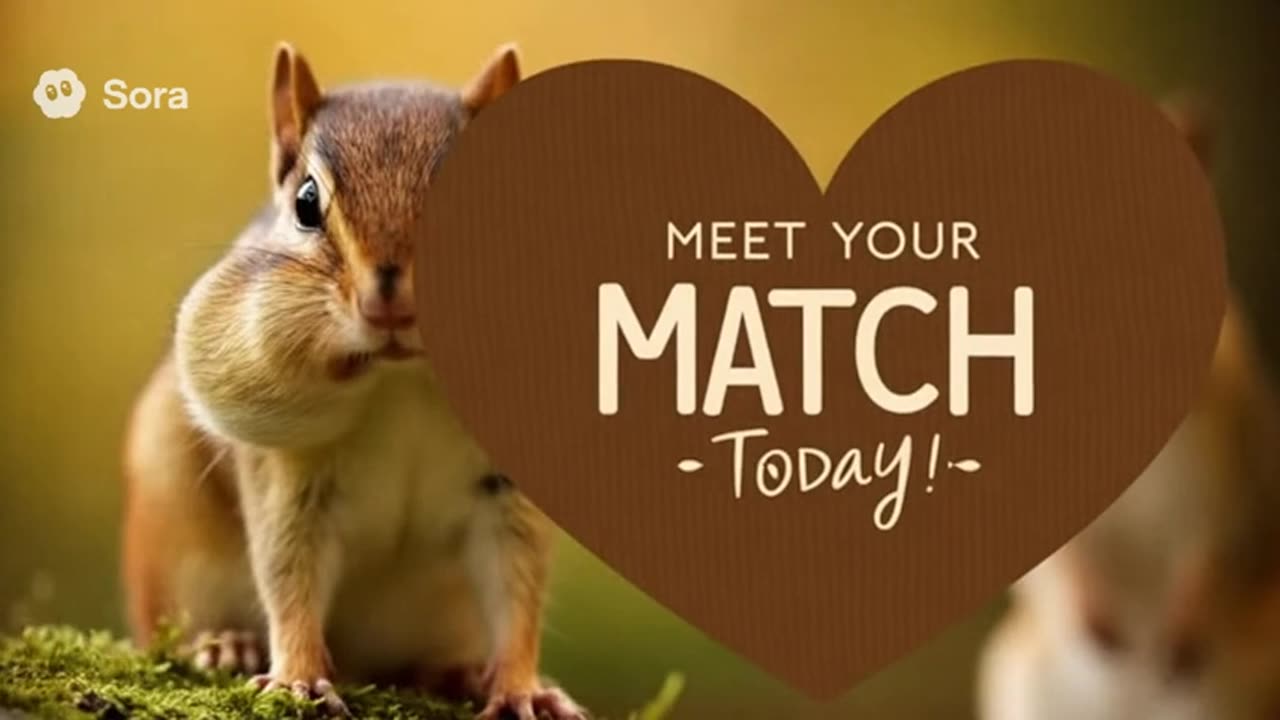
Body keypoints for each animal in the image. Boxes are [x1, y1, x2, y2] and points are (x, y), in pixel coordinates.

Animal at [120, 43, 585, 720]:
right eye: (305, 202)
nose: (389, 300)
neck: (405, 381)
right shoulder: (289, 478)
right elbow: (288, 575)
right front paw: (297, 679)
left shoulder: (507, 494)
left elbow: (519, 586)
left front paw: (522, 688)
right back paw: (224, 644)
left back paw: (459, 672)